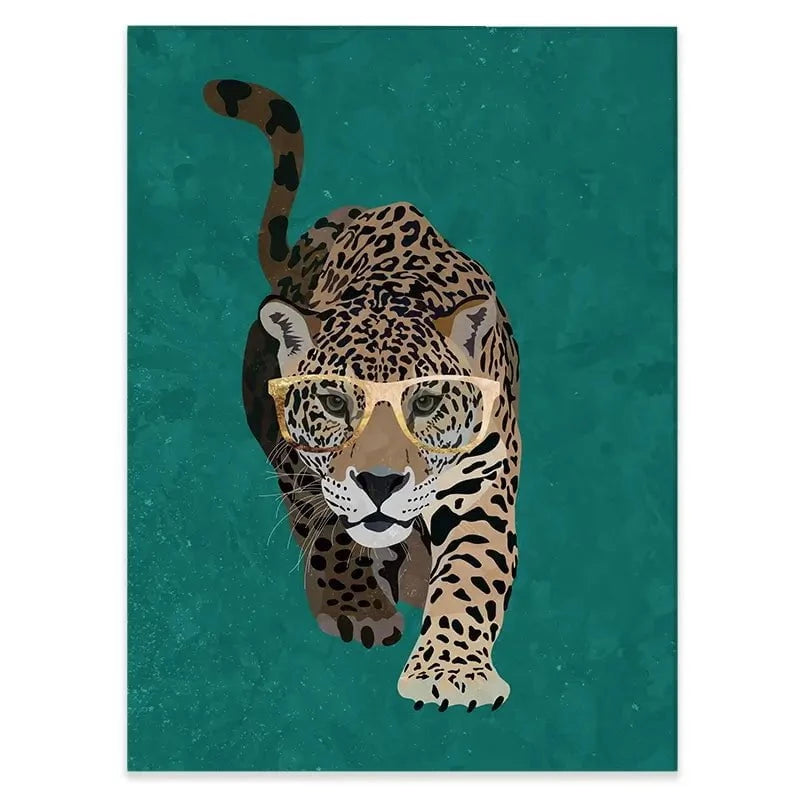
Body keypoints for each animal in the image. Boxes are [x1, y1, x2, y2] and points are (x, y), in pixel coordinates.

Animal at [203, 79, 521, 711]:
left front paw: (451, 672)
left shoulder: (483, 479)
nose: (379, 484)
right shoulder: (300, 461)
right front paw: (357, 607)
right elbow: (327, 528)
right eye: (333, 402)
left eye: (424, 403)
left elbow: (472, 571)